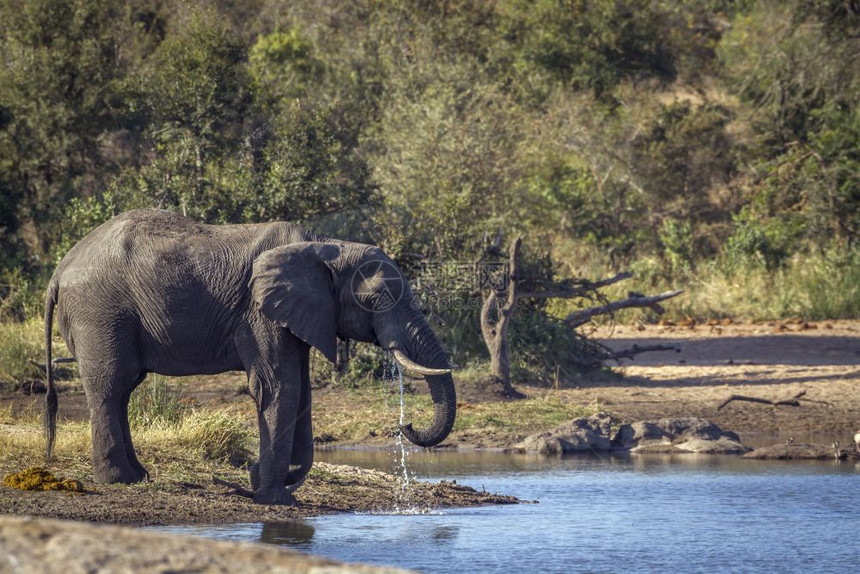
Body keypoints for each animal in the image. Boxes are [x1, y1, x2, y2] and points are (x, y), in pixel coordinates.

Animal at [45, 209, 456, 506]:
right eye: (377, 299)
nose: (406, 425)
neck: (326, 248)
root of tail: (60, 269)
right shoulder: (260, 312)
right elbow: (280, 387)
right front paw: (276, 498)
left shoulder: (298, 312)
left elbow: (302, 392)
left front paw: (267, 479)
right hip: (99, 311)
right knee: (111, 388)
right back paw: (120, 480)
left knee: (123, 391)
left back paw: (139, 476)